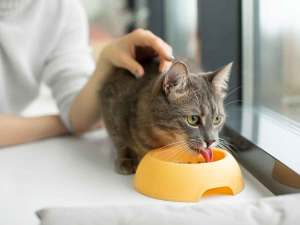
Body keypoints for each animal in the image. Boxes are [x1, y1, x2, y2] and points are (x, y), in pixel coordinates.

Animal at [99, 58, 233, 174]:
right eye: (193, 119)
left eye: (217, 119)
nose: (211, 141)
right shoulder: (109, 104)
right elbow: (119, 140)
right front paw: (126, 159)